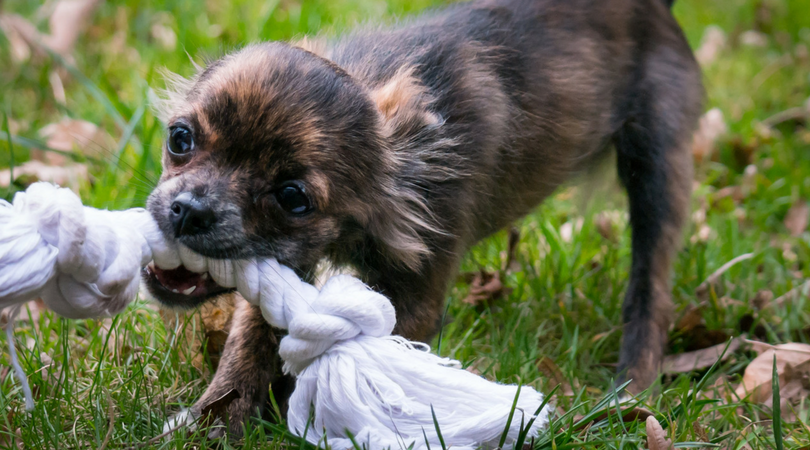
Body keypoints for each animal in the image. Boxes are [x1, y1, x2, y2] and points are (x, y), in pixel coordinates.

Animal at [144, 0, 700, 436]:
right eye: (180, 138)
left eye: (292, 198)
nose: (189, 211)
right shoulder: (283, 269)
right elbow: (250, 341)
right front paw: (215, 422)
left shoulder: (415, 294)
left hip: (657, 168)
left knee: (652, 289)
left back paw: (631, 388)